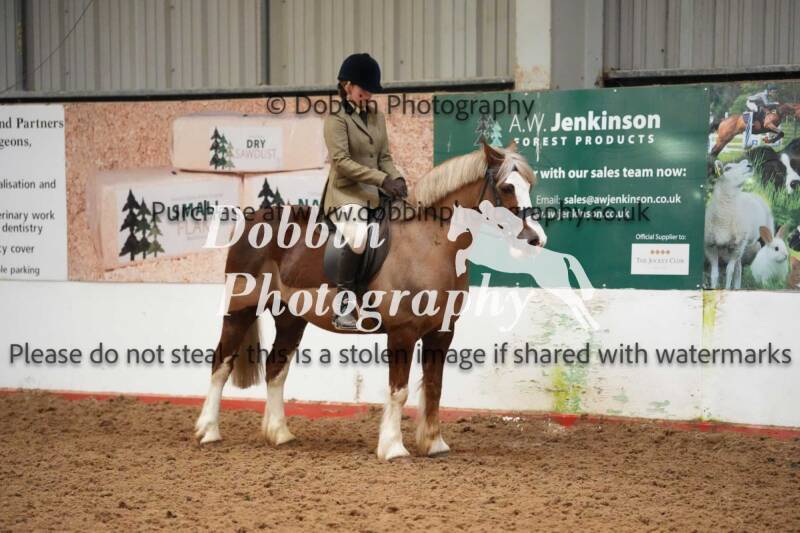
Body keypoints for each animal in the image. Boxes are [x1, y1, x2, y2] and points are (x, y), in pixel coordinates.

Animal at [194, 140, 546, 460]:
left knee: (276, 368)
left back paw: (279, 434)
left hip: (291, 318)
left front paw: (434, 444)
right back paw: (208, 431)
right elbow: (399, 391)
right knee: (220, 364)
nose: (536, 240)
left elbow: (434, 386)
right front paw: (393, 448)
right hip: (241, 310)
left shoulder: (442, 332)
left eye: (529, 185)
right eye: (507, 187)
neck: (430, 244)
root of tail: (254, 220)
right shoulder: (403, 332)